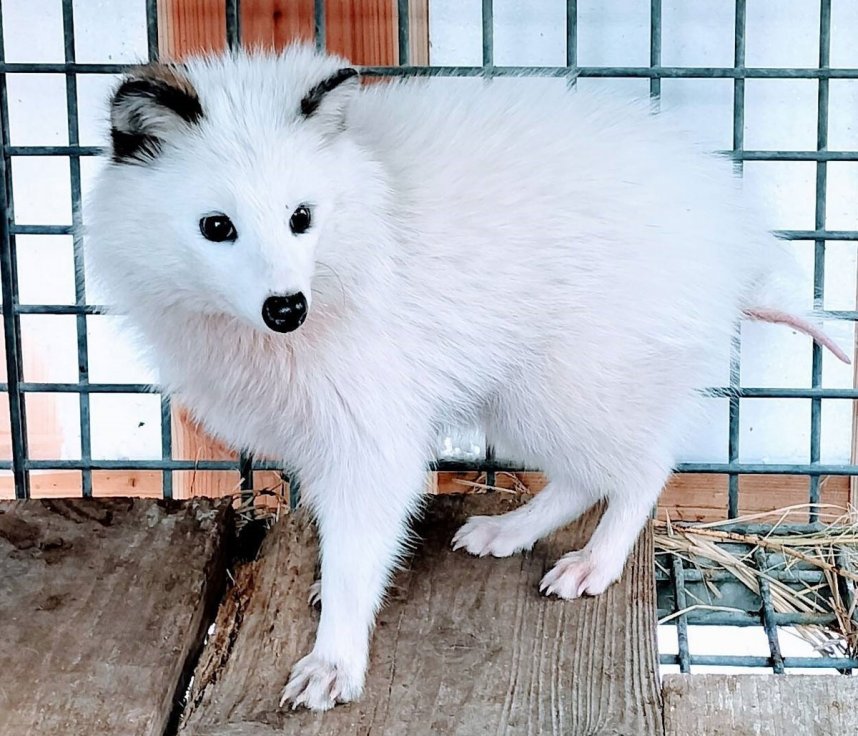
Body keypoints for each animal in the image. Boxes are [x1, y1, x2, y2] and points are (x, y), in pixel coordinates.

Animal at [83, 44, 844, 708]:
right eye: (216, 227)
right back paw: (510, 532)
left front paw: (334, 662)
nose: (287, 308)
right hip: (529, 399)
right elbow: (343, 539)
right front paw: (339, 591)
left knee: (644, 467)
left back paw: (593, 564)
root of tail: (733, 238)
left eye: (302, 217)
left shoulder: (374, 433)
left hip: (560, 390)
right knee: (588, 474)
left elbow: (357, 547)